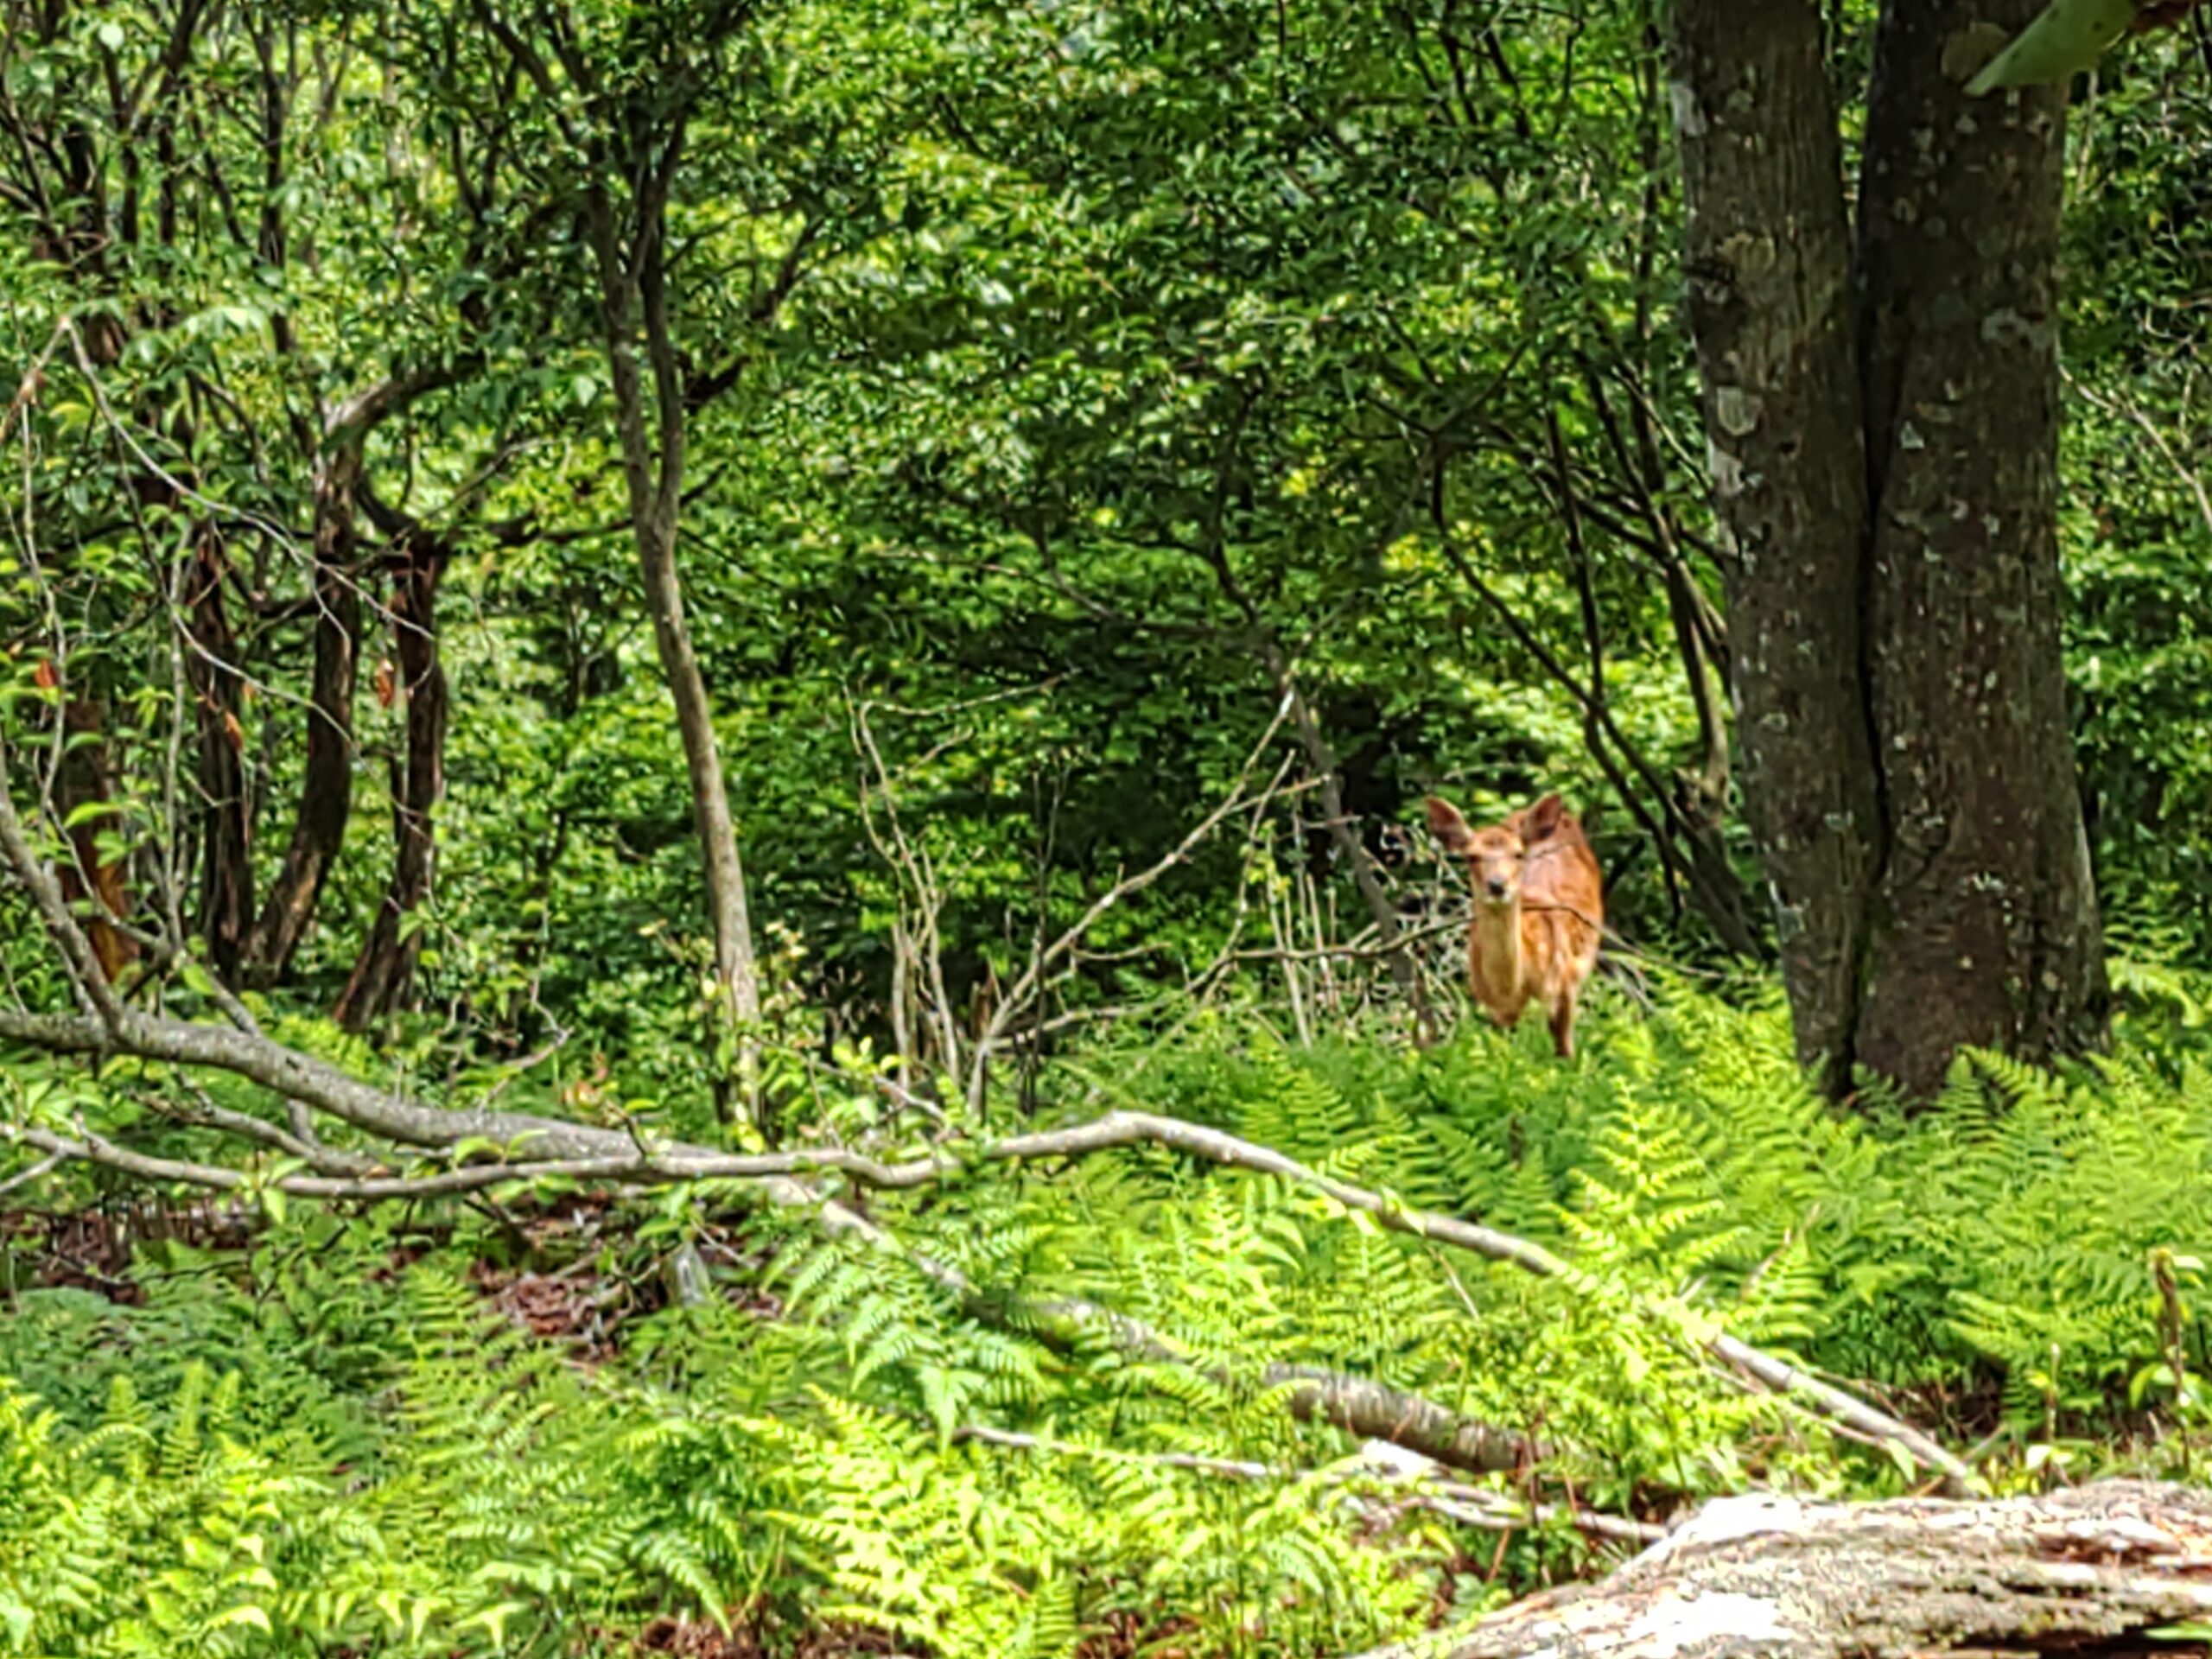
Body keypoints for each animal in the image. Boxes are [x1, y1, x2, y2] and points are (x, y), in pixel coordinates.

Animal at [1424, 796, 1601, 1057]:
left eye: (1518, 854)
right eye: (1471, 856)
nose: (1497, 885)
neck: (1512, 987)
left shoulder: (1565, 986)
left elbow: (1564, 1051)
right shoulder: (1492, 1006)